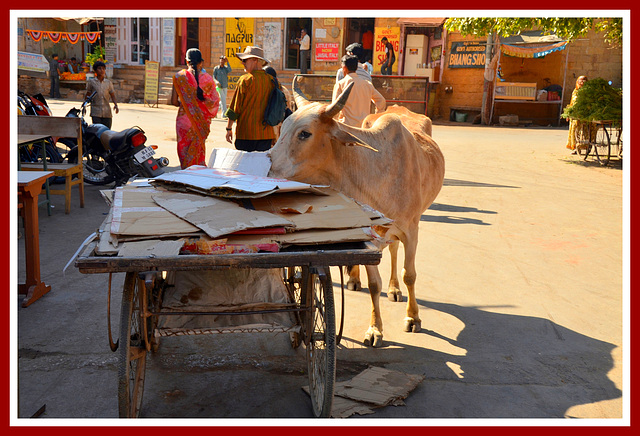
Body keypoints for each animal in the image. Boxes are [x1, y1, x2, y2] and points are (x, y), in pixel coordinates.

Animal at [266, 79, 444, 348]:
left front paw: (413, 318)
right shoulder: (371, 234)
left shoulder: (412, 229)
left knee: (395, 251)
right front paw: (375, 329)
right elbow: (374, 285)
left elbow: (409, 275)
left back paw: (395, 289)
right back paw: (356, 279)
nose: (268, 169)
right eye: (283, 127)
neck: (375, 171)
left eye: (305, 133)